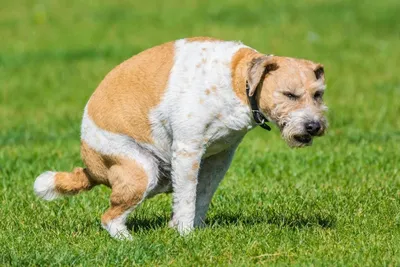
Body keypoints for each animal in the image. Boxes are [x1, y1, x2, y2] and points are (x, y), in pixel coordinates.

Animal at [33, 36, 328, 240]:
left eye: (318, 94)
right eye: (289, 94)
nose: (314, 126)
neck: (238, 81)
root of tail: (90, 169)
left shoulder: (220, 157)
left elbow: (202, 194)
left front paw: (193, 228)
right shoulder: (188, 150)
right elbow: (187, 197)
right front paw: (186, 234)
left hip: (161, 179)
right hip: (143, 171)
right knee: (109, 217)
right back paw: (131, 241)